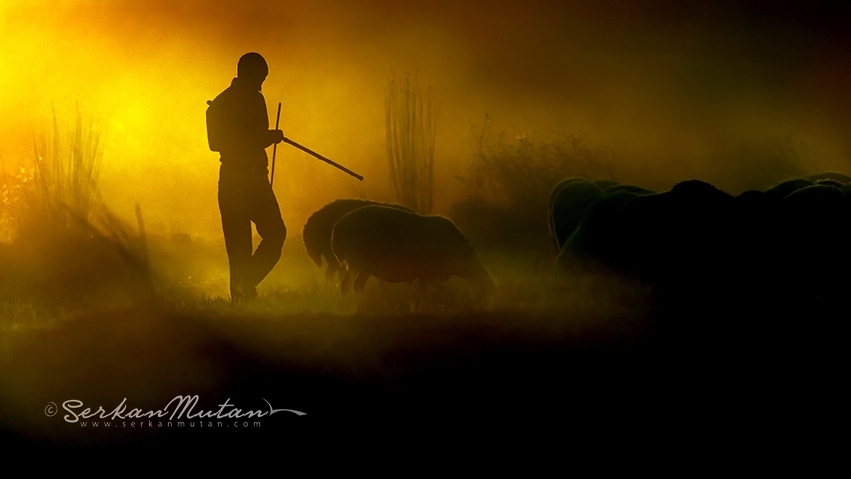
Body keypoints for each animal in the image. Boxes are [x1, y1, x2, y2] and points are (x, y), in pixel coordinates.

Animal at [332, 207, 496, 296]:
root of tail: (337, 230)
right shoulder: (432, 273)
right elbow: (434, 290)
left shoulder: (426, 274)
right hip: (355, 262)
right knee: (345, 285)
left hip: (364, 267)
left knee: (357, 285)